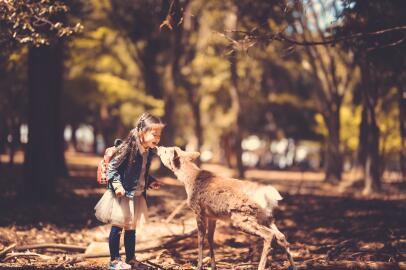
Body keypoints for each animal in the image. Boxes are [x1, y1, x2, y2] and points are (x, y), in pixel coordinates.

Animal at [156, 148, 294, 270]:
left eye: (166, 151)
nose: (158, 147)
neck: (189, 181)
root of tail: (269, 196)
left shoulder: (198, 210)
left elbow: (200, 238)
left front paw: (199, 265)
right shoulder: (212, 216)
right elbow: (210, 238)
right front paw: (213, 266)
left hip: (242, 216)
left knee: (269, 235)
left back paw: (261, 267)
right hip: (266, 217)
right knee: (281, 236)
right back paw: (293, 265)